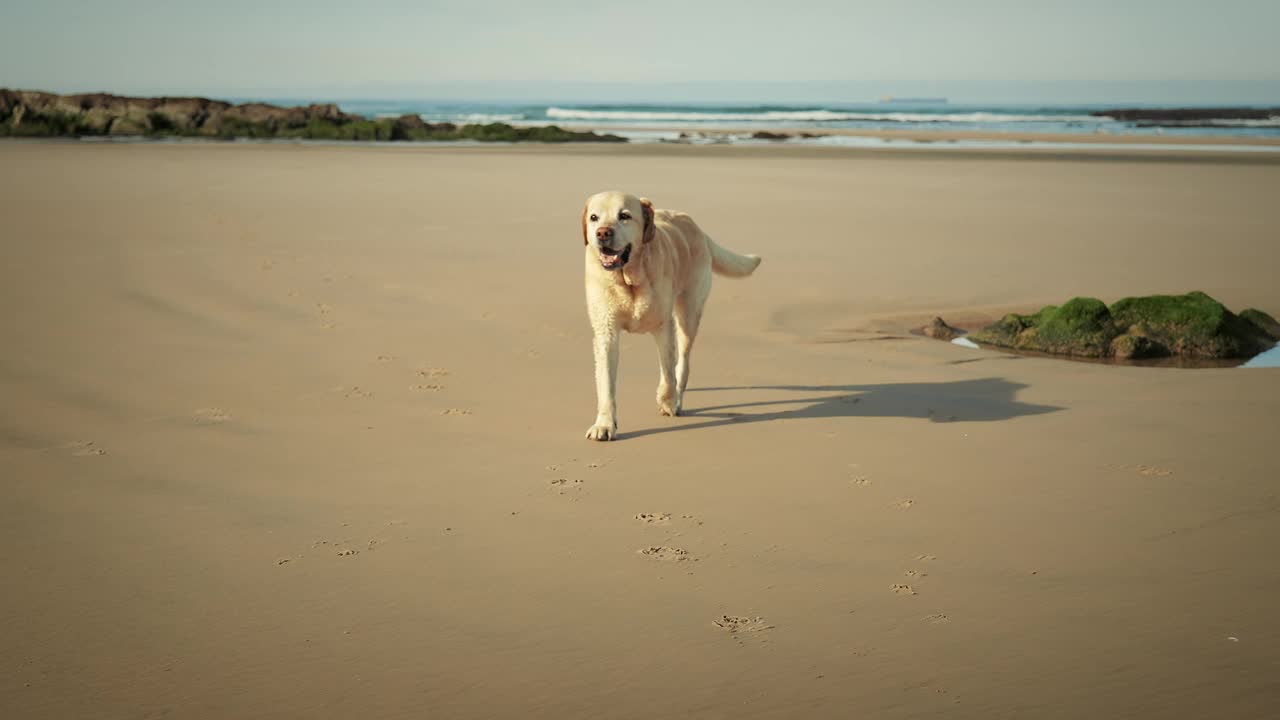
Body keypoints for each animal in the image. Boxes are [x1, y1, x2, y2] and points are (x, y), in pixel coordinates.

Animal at [583, 190, 757, 438]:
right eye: (594, 218)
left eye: (624, 216)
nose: (603, 233)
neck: (629, 279)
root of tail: (696, 227)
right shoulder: (606, 332)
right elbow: (606, 383)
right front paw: (604, 425)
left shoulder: (663, 327)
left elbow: (667, 374)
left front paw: (666, 401)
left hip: (688, 313)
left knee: (682, 363)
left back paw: (677, 399)